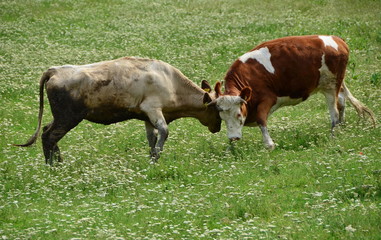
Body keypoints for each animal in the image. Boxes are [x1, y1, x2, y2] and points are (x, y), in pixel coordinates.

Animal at [15, 57, 220, 164]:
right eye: (217, 109)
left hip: (60, 117)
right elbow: (164, 132)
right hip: (68, 117)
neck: (170, 81)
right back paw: (54, 166)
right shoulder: (153, 109)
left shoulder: (147, 117)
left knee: (48, 132)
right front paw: (155, 158)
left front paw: (151, 157)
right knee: (49, 136)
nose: (217, 127)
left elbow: (152, 137)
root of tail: (55, 70)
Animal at [205, 35, 374, 149]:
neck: (249, 77)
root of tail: (337, 39)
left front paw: (269, 144)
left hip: (331, 87)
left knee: (335, 112)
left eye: (239, 114)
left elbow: (261, 121)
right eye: (222, 118)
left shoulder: (267, 100)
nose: (233, 138)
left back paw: (333, 134)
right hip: (333, 84)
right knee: (342, 102)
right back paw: (343, 127)